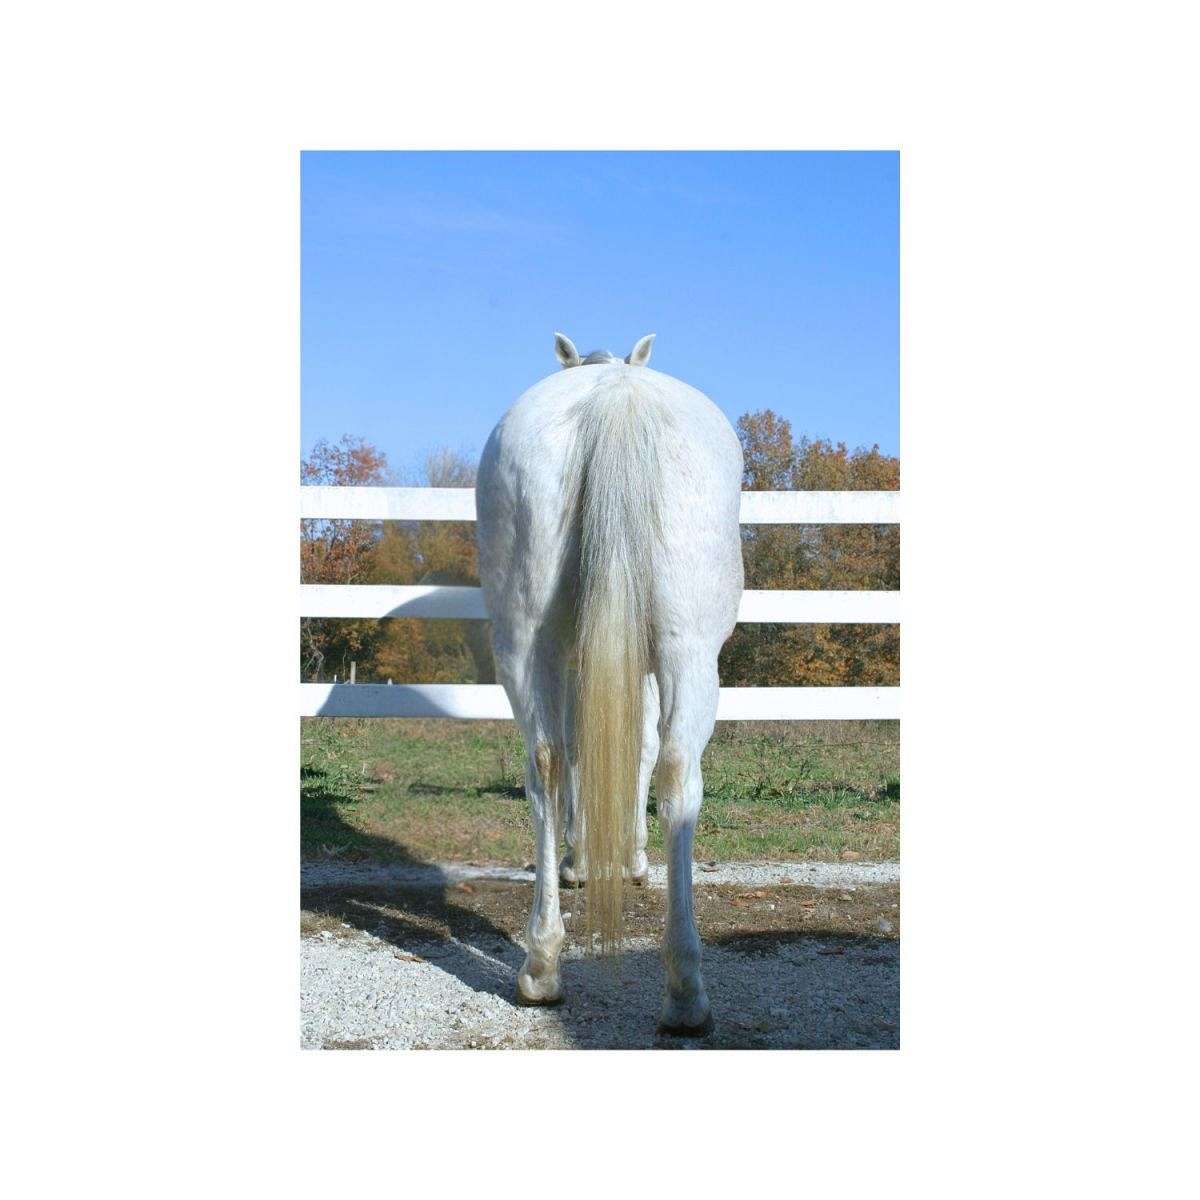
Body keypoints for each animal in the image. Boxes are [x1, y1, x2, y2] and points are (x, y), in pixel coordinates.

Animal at [475, 332, 744, 1035]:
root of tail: (613, 401)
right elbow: (639, 750)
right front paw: (624, 857)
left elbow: (589, 753)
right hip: (687, 651)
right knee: (675, 771)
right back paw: (681, 991)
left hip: (529, 642)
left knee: (547, 762)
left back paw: (546, 967)